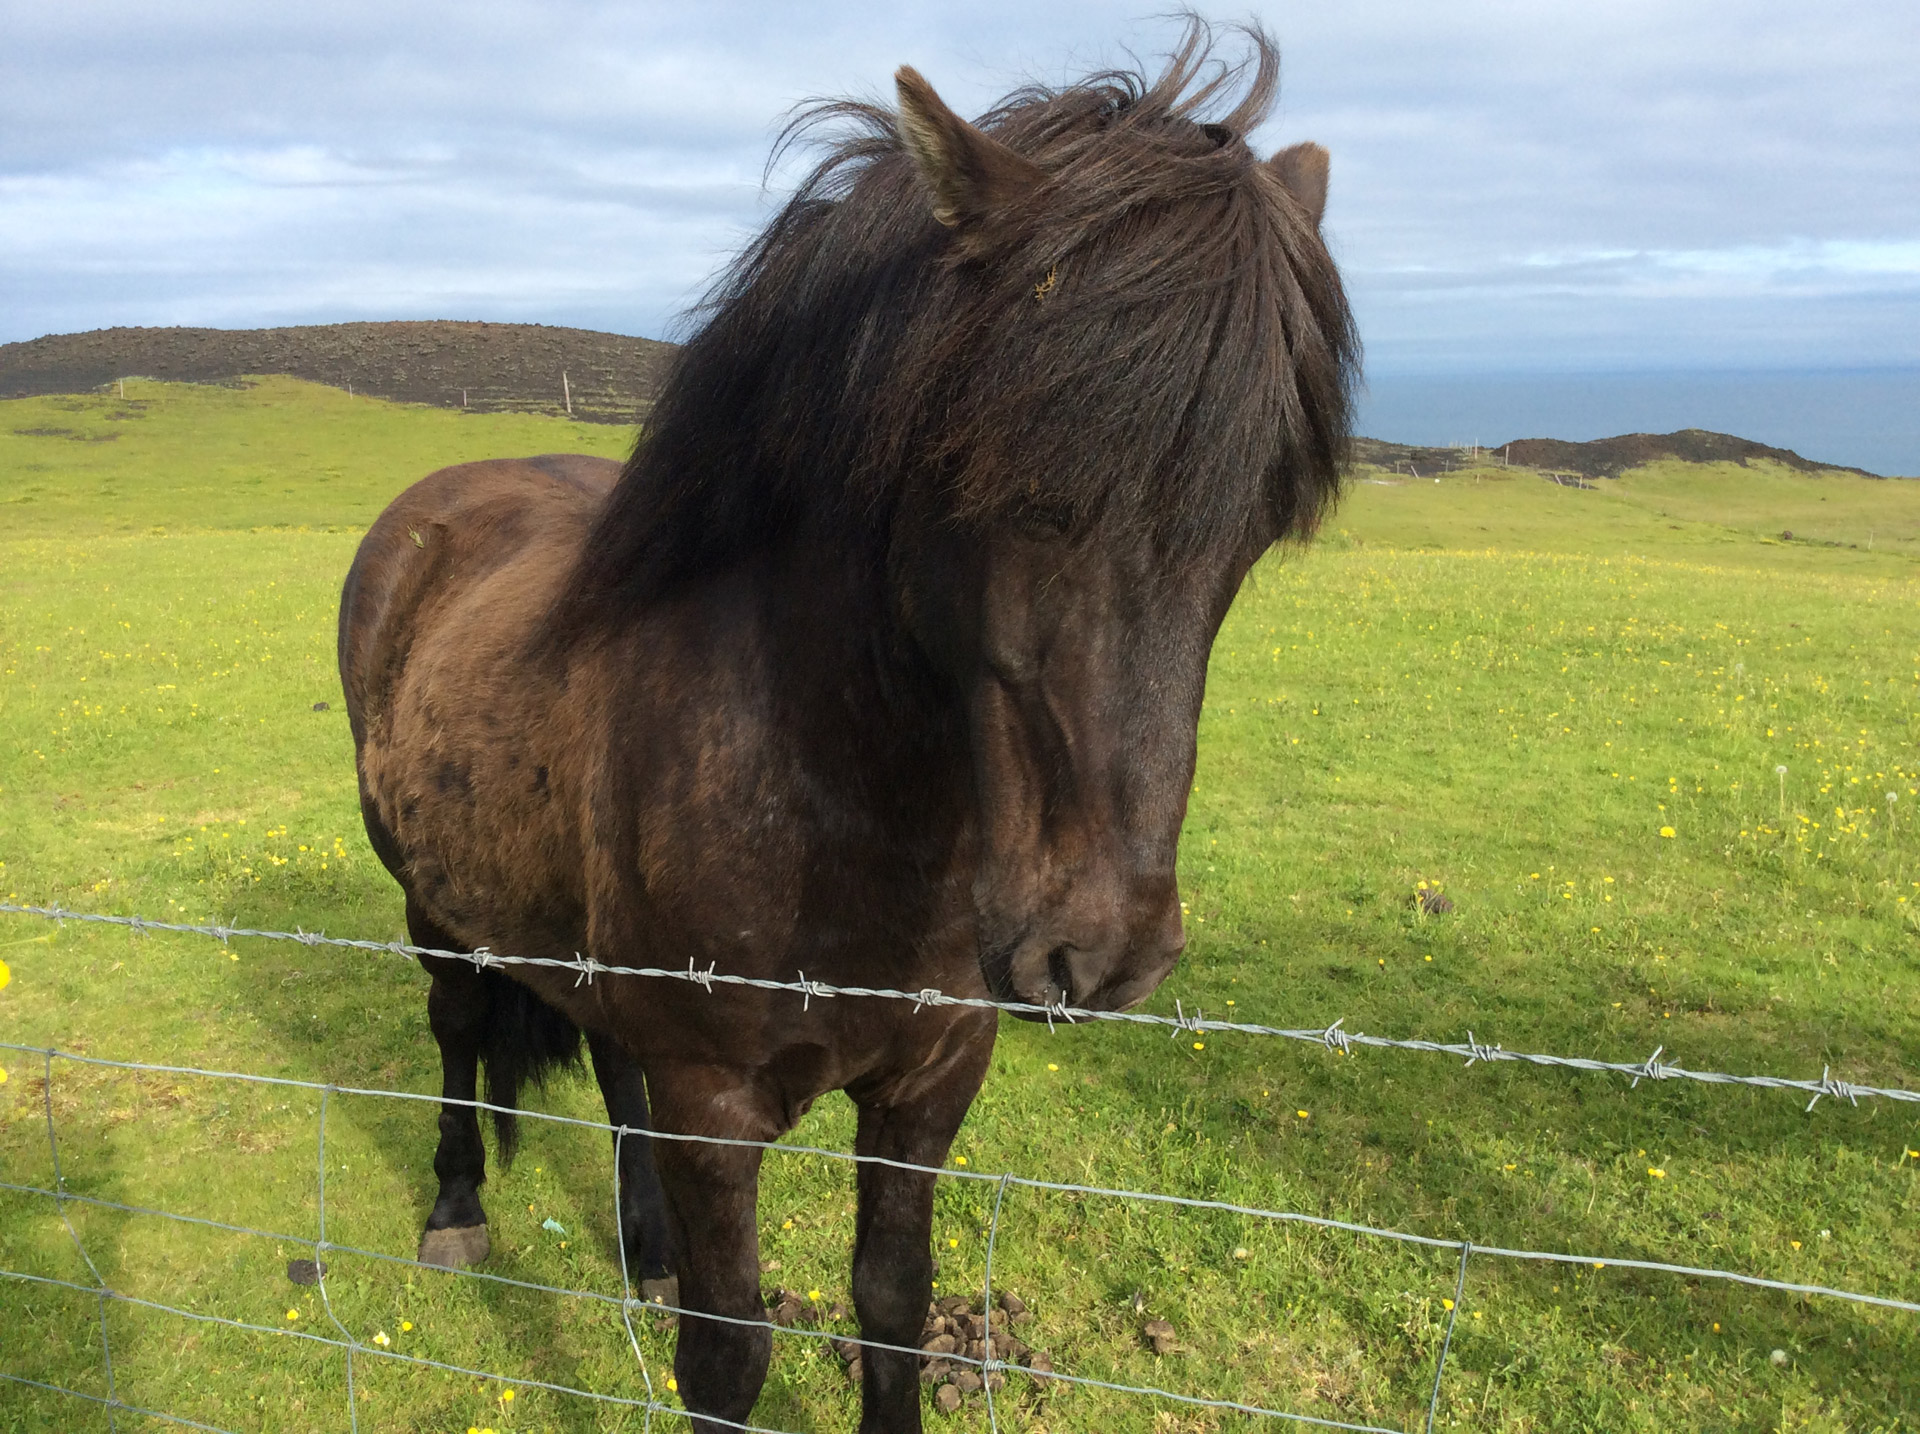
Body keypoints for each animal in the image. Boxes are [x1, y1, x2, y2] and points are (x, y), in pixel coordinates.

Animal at [337, 25, 1359, 1434]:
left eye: (1254, 522)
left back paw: (643, 1248)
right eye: (1009, 481)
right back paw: (454, 1212)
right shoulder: (714, 1105)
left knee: (605, 1061)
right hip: (433, 907)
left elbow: (892, 1307)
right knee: (452, 1032)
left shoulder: (928, 1087)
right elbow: (728, 1355)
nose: (1102, 955)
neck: (838, 789)